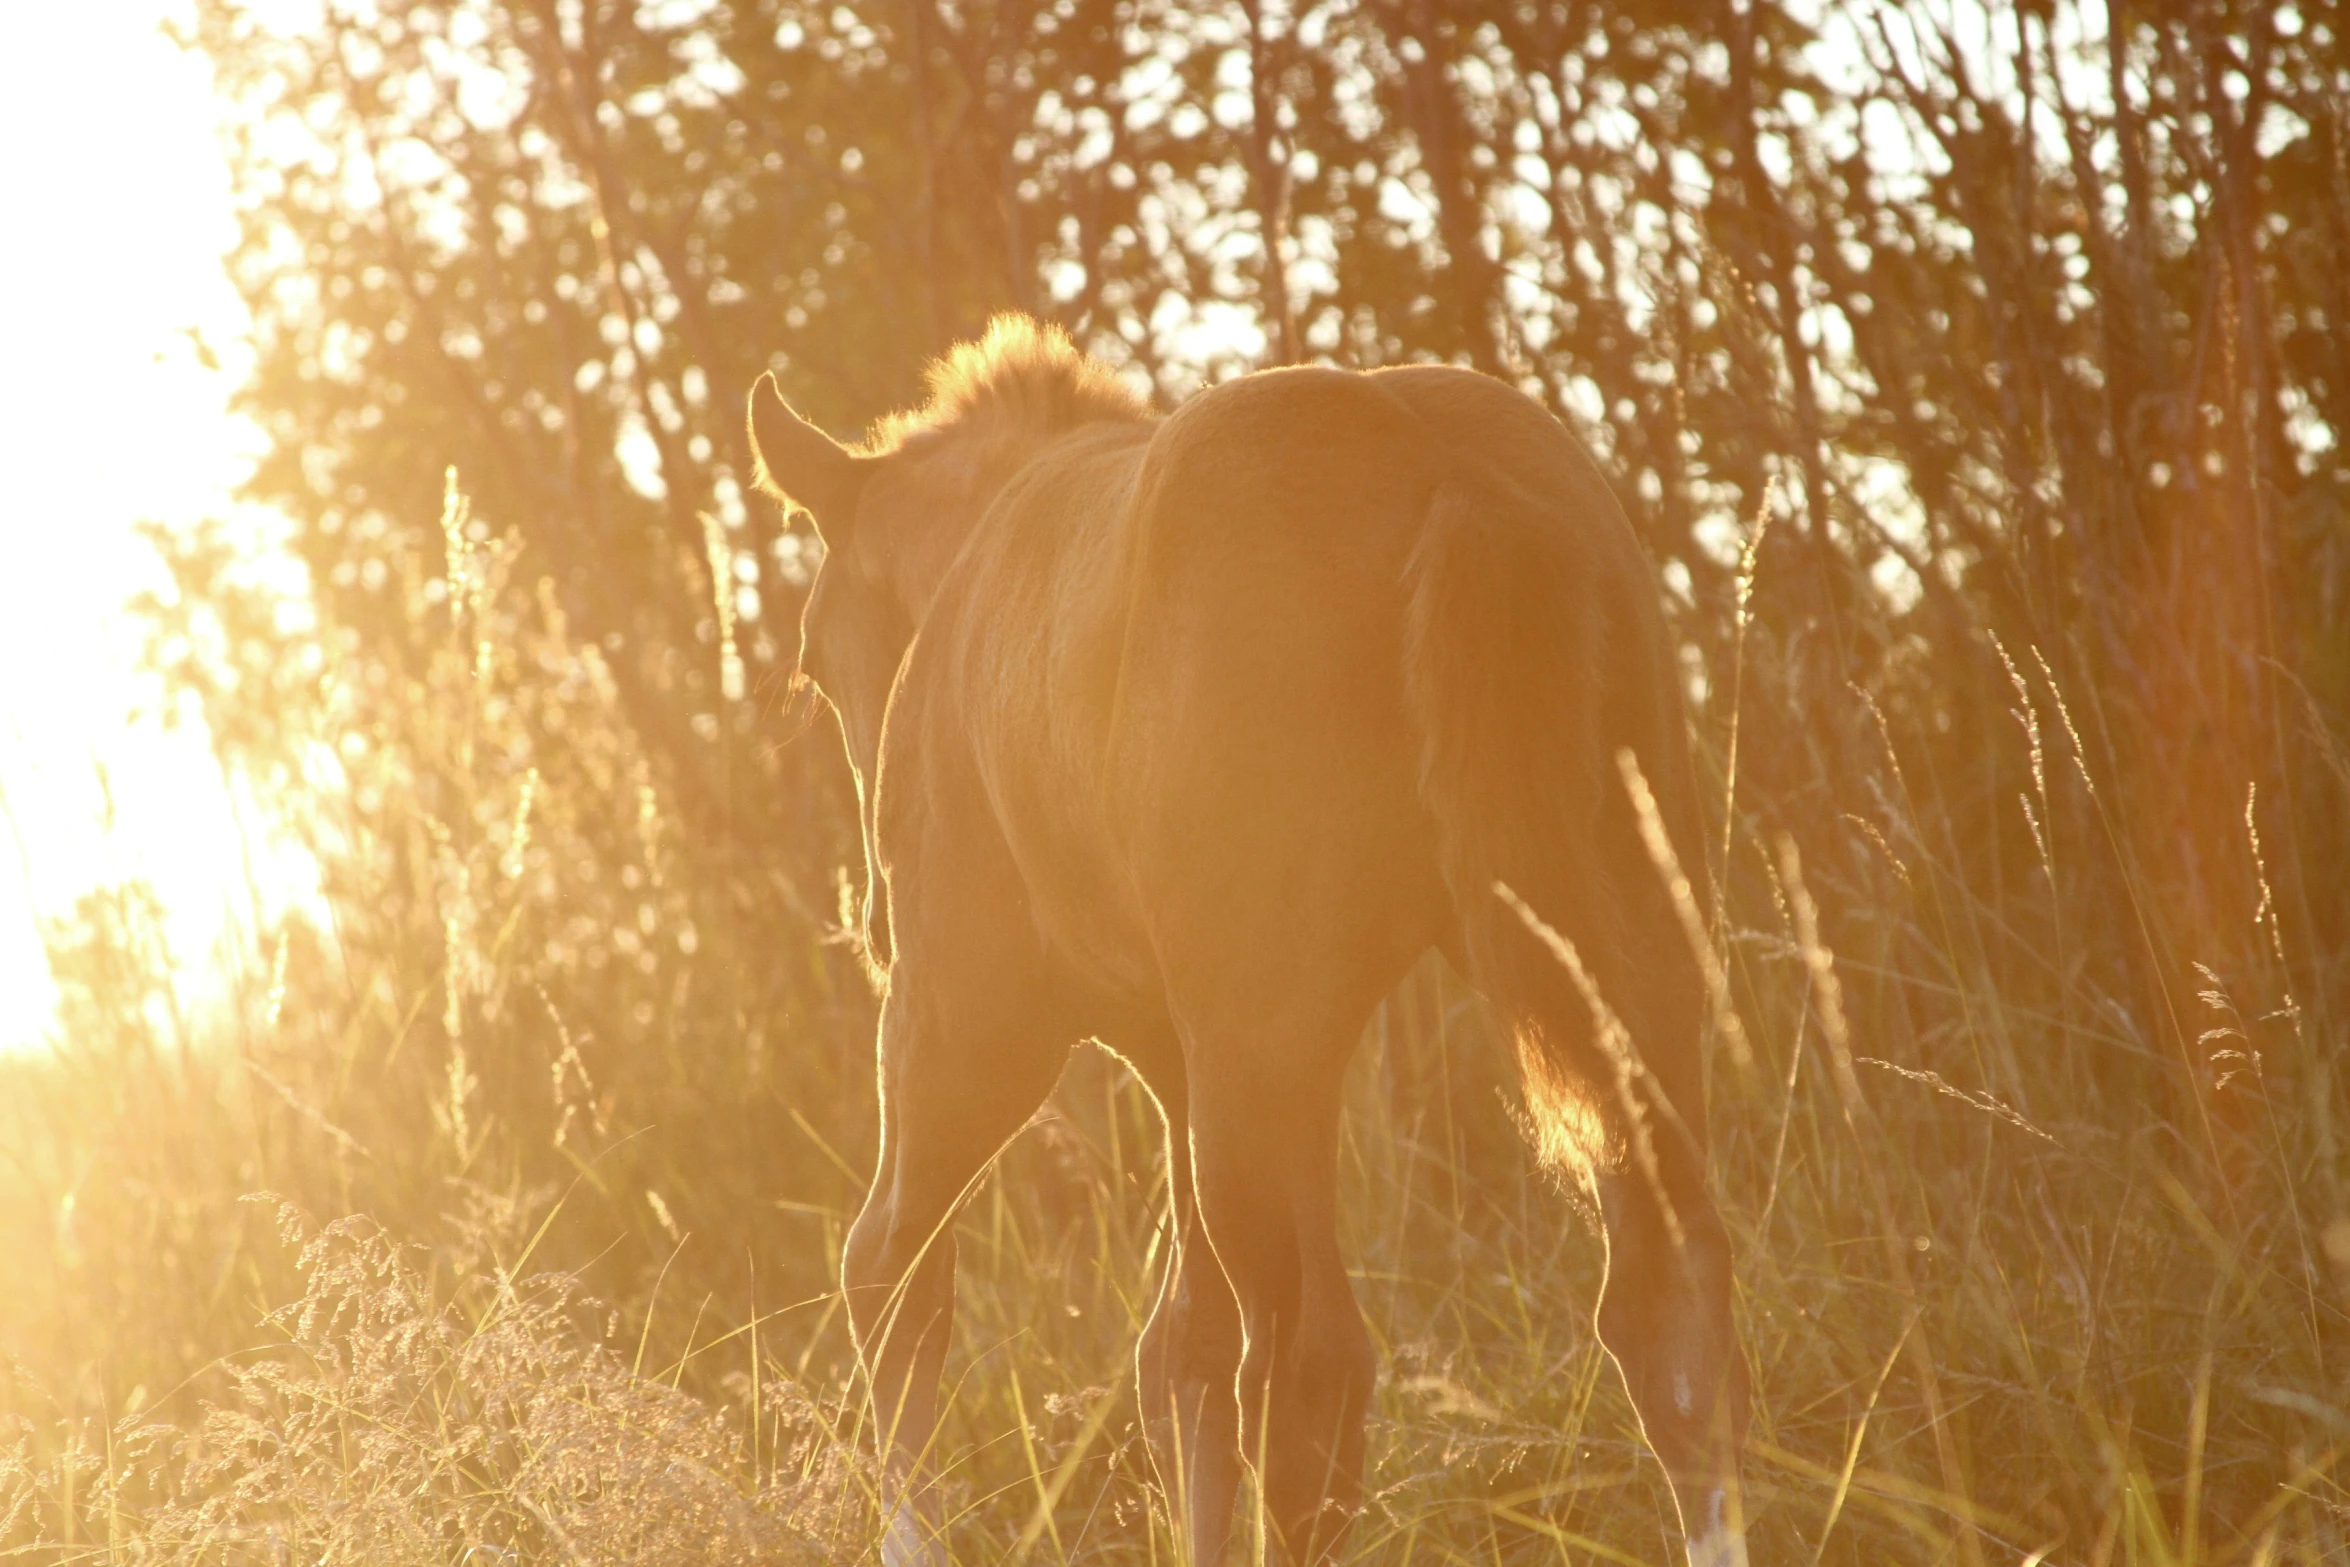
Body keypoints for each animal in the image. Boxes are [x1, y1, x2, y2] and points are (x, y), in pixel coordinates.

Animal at [747, 319, 1748, 1567]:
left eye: (814, 653)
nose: (875, 925)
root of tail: (1440, 469)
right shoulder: (1173, 1058)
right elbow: (1182, 1350)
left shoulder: (973, 1025)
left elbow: (893, 1274)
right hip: (1627, 970)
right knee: (1671, 1301)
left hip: (1239, 1049)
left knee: (1307, 1364)